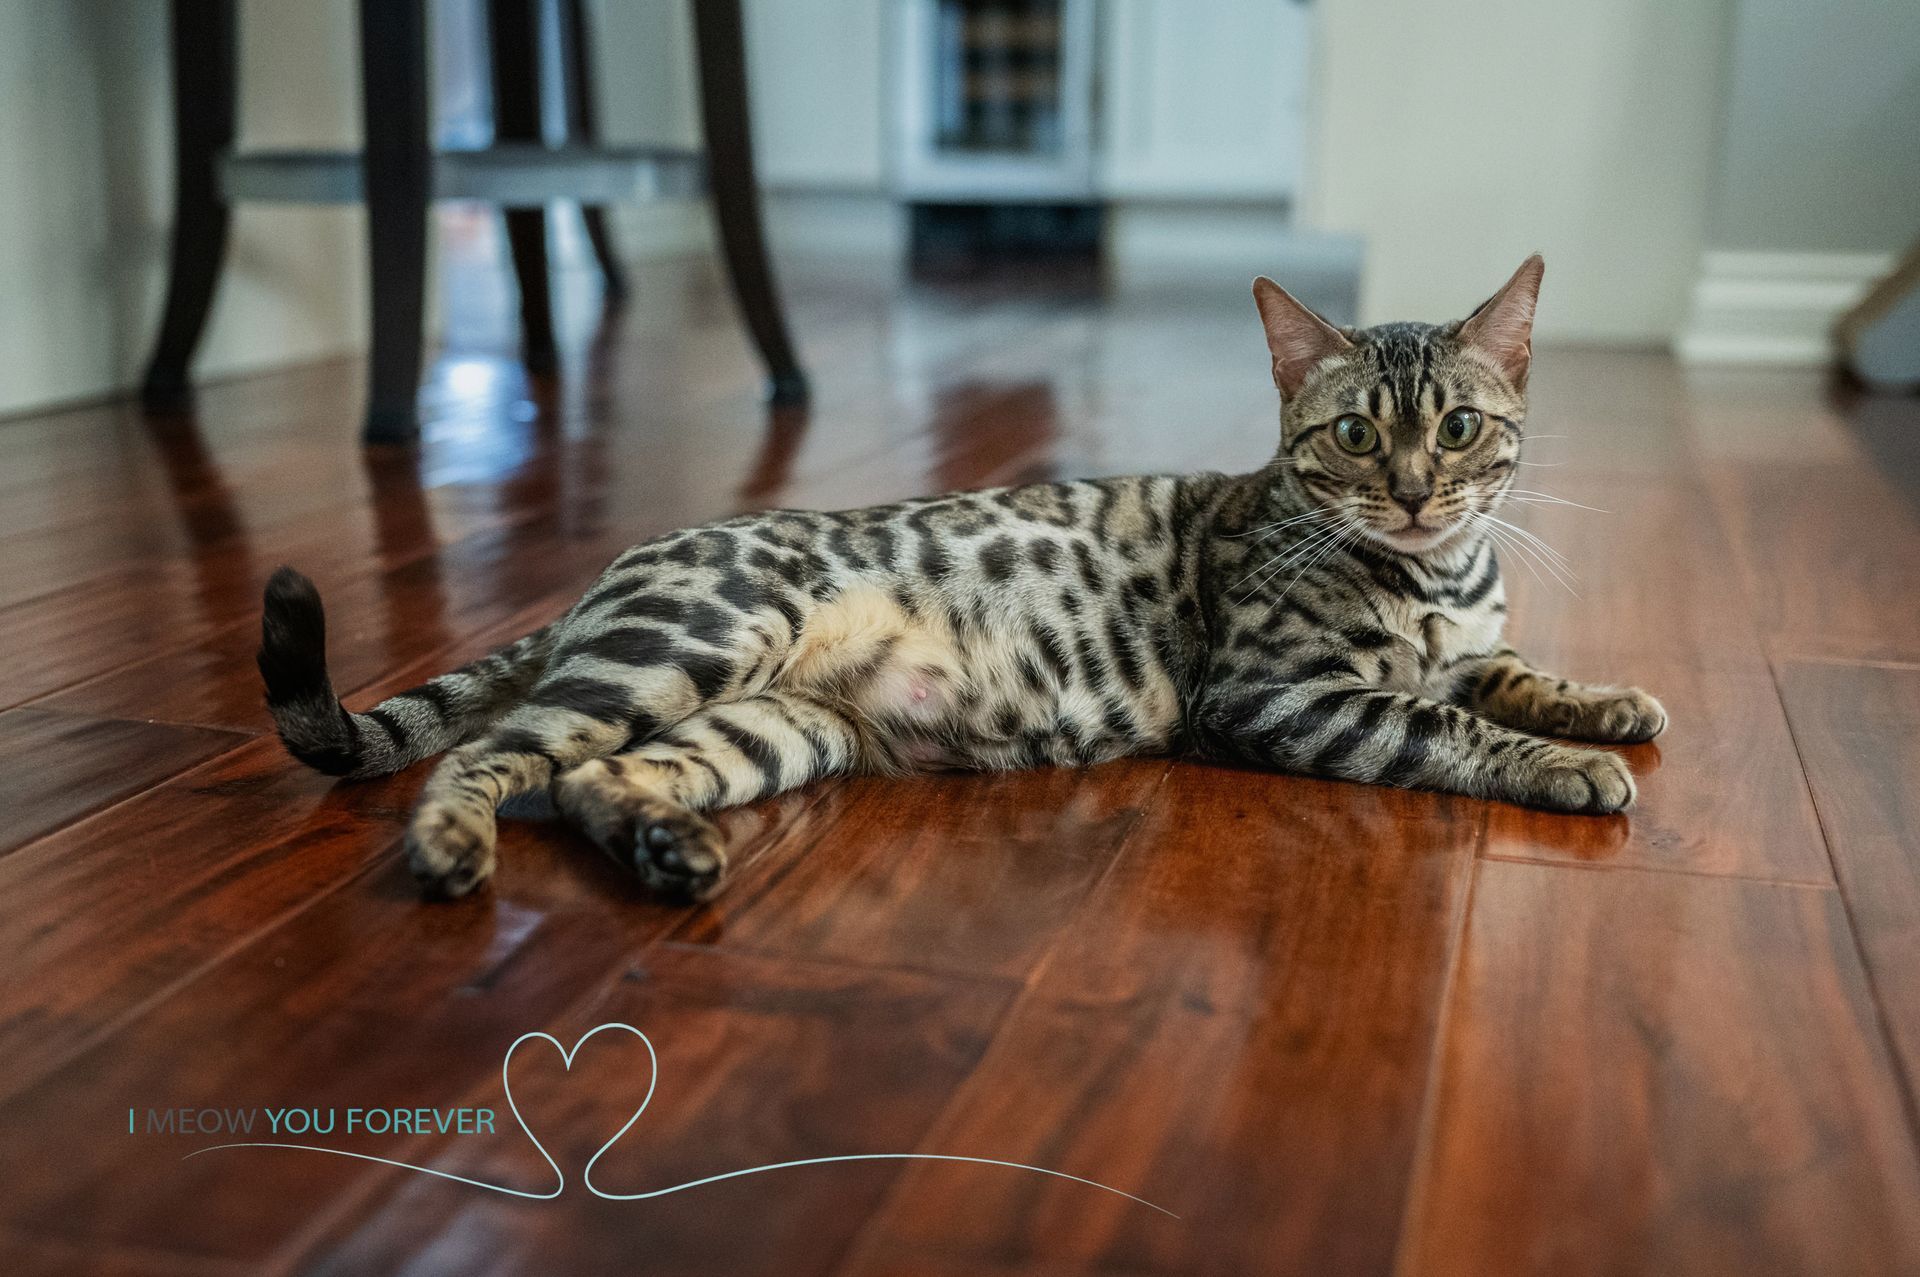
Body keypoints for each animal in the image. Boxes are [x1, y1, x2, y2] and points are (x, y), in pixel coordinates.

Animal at [259, 253, 1666, 902]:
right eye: (1360, 436)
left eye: (1462, 427)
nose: (1420, 491)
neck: (1439, 577)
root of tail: (613, 572)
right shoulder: (1277, 695)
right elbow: (1440, 720)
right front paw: (1567, 764)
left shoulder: (1470, 637)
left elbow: (1510, 669)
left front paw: (1606, 702)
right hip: (692, 644)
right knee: (486, 757)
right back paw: (452, 844)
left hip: (774, 727)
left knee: (596, 778)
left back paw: (670, 851)